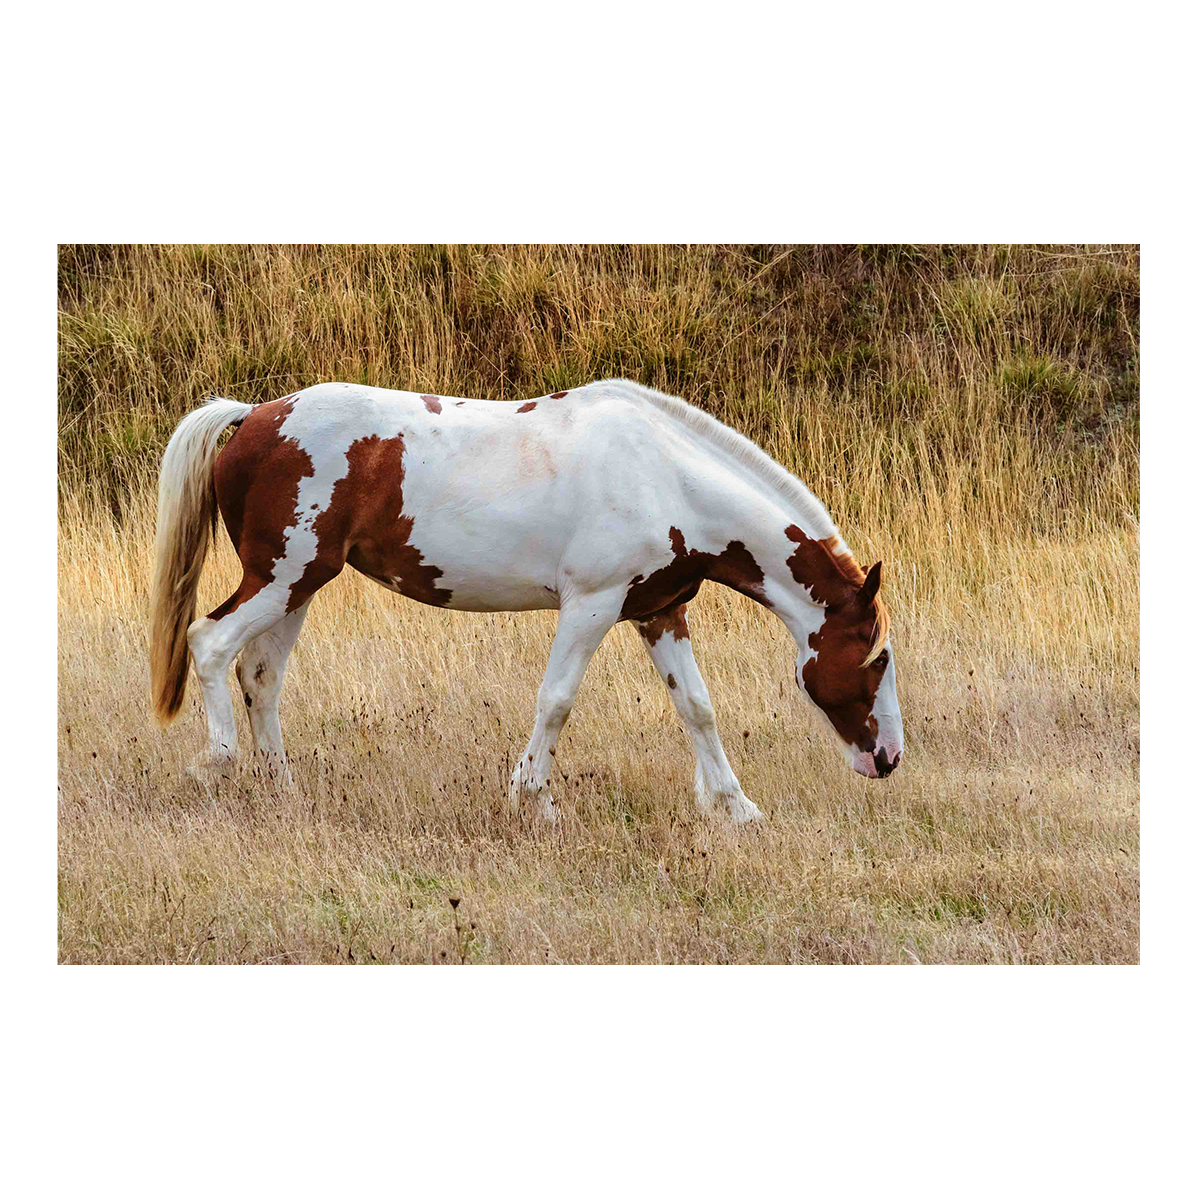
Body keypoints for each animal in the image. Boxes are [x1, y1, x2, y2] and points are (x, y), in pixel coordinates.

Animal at [150, 379, 902, 820]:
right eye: (876, 658)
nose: (888, 760)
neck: (664, 475)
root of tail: (255, 416)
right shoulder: (592, 605)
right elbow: (557, 701)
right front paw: (532, 799)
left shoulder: (658, 610)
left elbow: (697, 708)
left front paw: (735, 808)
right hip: (282, 577)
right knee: (210, 644)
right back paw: (215, 764)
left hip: (301, 582)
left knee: (261, 676)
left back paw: (282, 790)